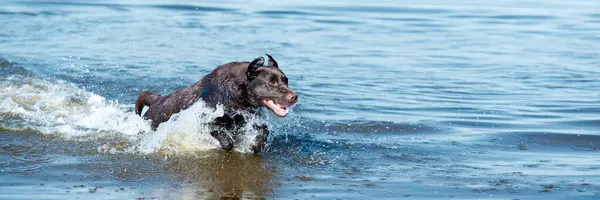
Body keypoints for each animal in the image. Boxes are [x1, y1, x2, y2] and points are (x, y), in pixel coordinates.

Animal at [134, 54, 298, 154]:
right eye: (272, 83)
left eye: (286, 81)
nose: (294, 97)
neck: (233, 92)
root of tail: (156, 100)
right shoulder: (205, 119)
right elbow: (224, 137)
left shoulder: (245, 118)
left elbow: (263, 130)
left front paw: (256, 144)